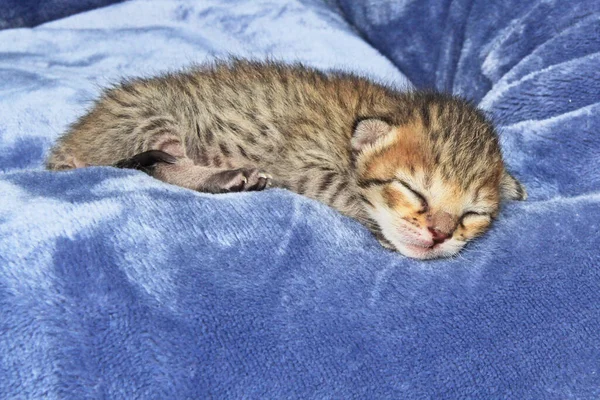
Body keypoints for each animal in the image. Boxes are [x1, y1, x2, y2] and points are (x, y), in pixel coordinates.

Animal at [47, 59, 524, 260]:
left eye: (472, 215)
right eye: (412, 191)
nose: (440, 235)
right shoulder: (303, 163)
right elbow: (346, 191)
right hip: (152, 113)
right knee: (158, 165)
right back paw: (228, 176)